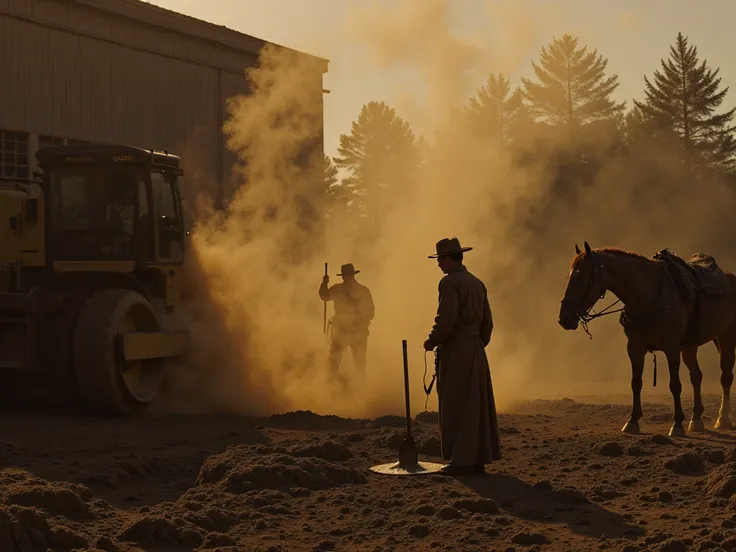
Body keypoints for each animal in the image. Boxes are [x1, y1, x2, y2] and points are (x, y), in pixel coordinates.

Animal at [556, 242, 736, 436]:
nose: (564, 318)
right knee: (696, 376)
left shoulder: (672, 348)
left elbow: (675, 385)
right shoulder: (635, 347)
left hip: (726, 337)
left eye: (580, 277)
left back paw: (723, 419)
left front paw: (677, 424)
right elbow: (636, 382)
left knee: (725, 377)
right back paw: (696, 419)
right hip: (689, 346)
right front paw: (633, 421)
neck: (648, 297)